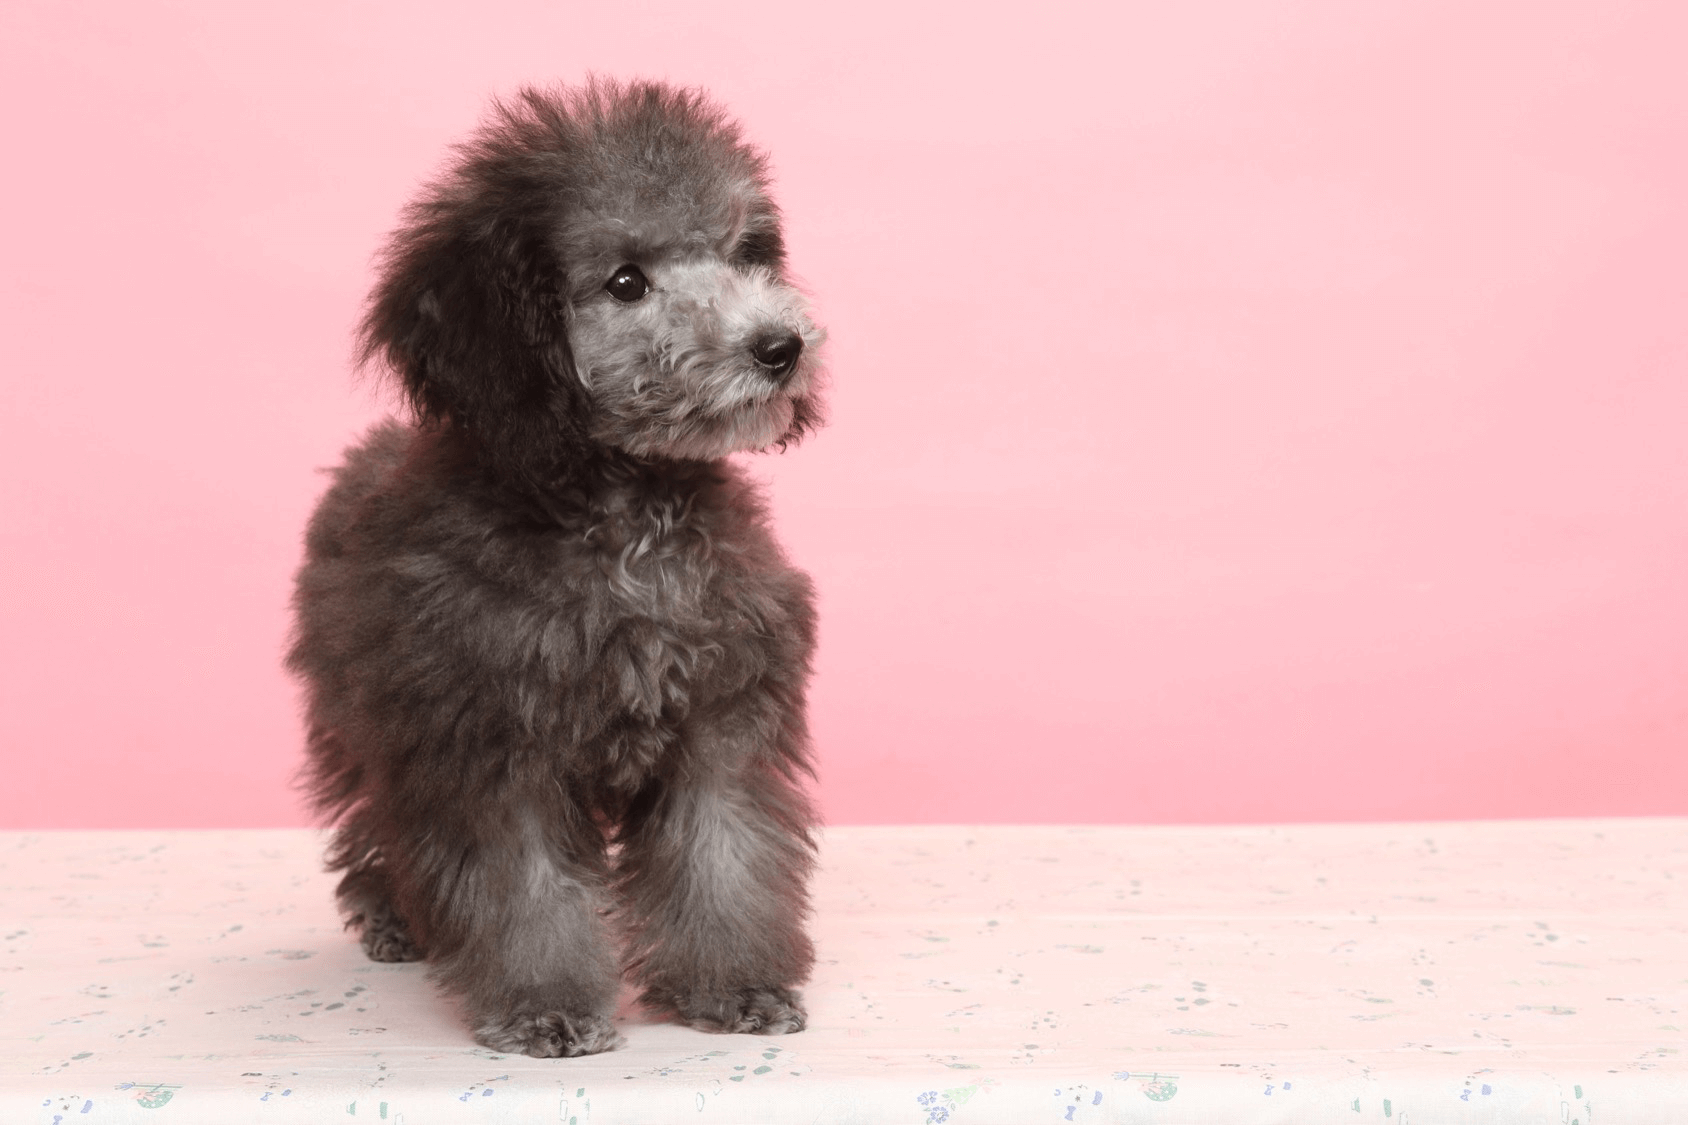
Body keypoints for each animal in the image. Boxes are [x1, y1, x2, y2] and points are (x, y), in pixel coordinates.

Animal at [292, 78, 830, 1054]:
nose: (780, 347)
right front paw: (543, 1002)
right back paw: (392, 915)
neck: (626, 524)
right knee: (378, 814)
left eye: (744, 254)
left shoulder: (722, 720)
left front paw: (733, 984)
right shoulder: (490, 744)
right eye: (626, 281)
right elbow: (523, 889)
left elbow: (723, 860)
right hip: (365, 724)